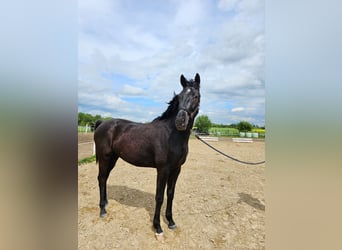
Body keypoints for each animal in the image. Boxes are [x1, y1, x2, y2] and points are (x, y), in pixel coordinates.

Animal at [93, 73, 200, 235]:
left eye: (195, 96)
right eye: (180, 97)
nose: (180, 121)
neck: (172, 135)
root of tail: (102, 123)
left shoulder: (176, 169)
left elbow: (170, 194)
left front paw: (171, 222)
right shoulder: (163, 170)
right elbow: (159, 197)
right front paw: (158, 227)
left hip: (113, 158)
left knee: (105, 178)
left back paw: (105, 203)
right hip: (105, 158)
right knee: (101, 178)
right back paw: (102, 210)